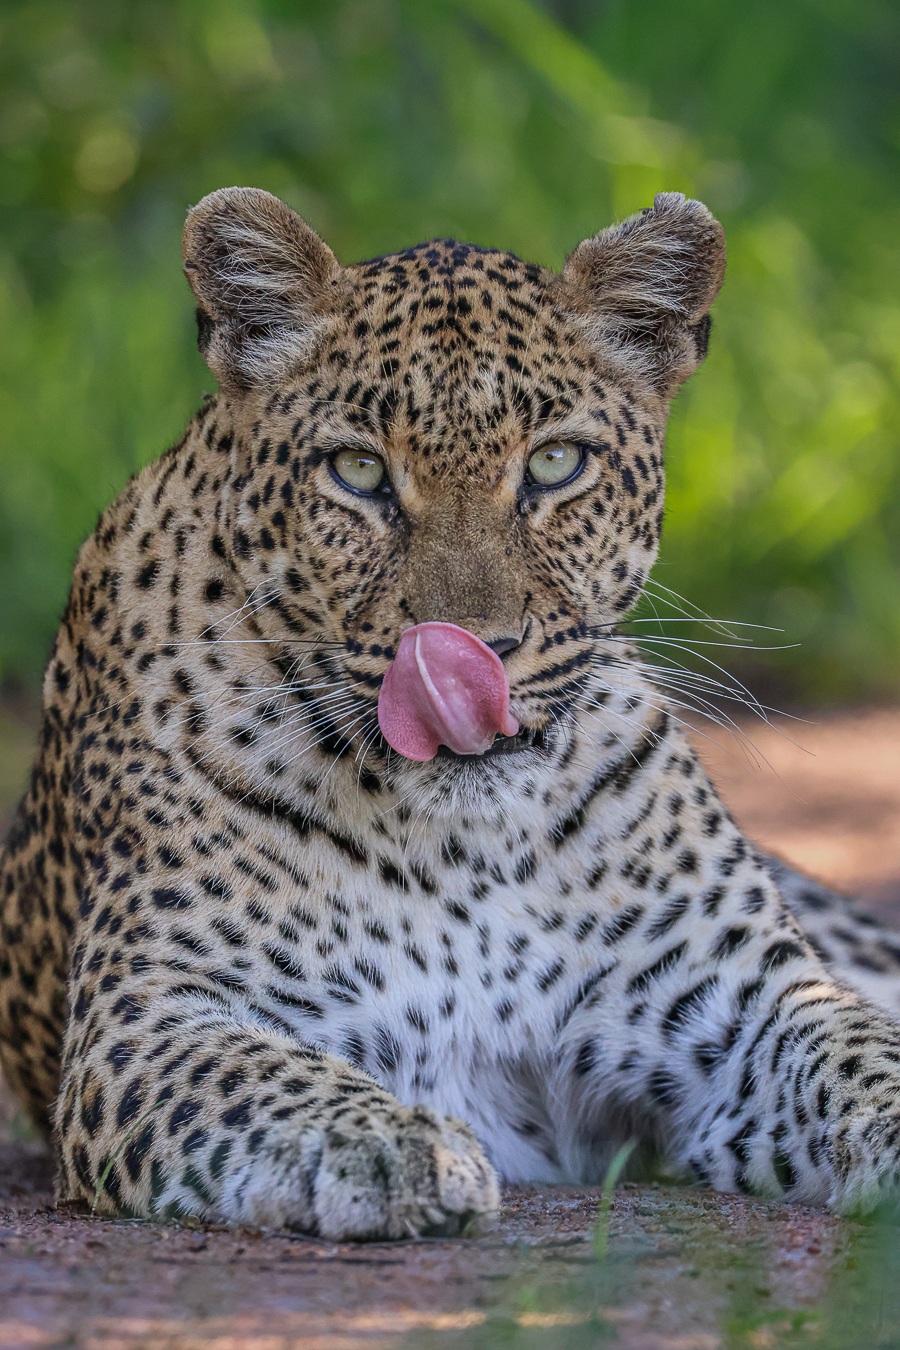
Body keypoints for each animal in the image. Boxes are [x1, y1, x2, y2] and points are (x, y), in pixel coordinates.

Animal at [3, 186, 900, 1240]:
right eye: (358, 471)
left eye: (555, 463)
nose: (473, 651)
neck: (471, 845)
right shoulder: (152, 1013)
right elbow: (267, 1078)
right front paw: (388, 1144)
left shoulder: (746, 996)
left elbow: (867, 1054)